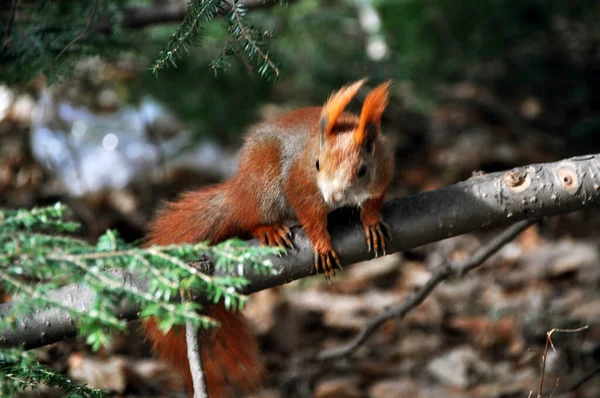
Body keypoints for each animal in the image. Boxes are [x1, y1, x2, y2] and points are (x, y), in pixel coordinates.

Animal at [141, 79, 394, 396]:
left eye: (362, 170)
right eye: (317, 164)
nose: (333, 197)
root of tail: (240, 191)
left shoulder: (382, 171)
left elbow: (374, 199)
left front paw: (371, 221)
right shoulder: (300, 182)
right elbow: (310, 213)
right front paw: (322, 244)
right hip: (265, 187)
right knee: (252, 220)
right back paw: (269, 230)